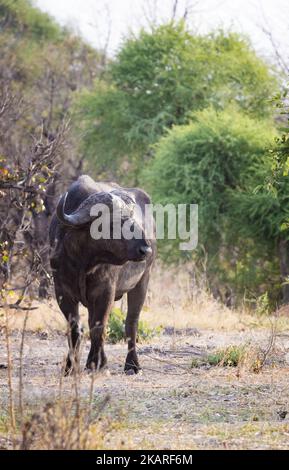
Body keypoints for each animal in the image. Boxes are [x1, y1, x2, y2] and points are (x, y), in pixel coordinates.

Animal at [49, 174, 155, 376]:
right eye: (114, 223)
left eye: (132, 219)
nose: (145, 249)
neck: (83, 262)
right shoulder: (62, 292)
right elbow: (76, 328)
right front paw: (70, 366)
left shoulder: (105, 291)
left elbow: (99, 327)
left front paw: (96, 364)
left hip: (142, 281)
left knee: (131, 323)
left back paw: (132, 364)